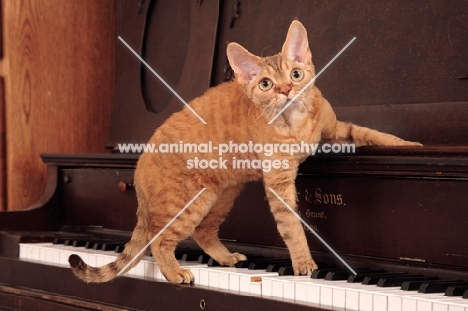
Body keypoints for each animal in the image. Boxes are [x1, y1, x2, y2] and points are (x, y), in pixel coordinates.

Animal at [68, 20, 420, 286]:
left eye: (295, 74)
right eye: (265, 84)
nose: (286, 90)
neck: (295, 123)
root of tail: (138, 164)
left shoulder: (334, 129)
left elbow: (372, 134)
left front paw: (410, 146)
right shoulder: (278, 182)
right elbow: (292, 226)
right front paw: (304, 264)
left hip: (222, 194)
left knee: (203, 231)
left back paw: (226, 257)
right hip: (189, 201)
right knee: (160, 238)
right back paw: (176, 272)